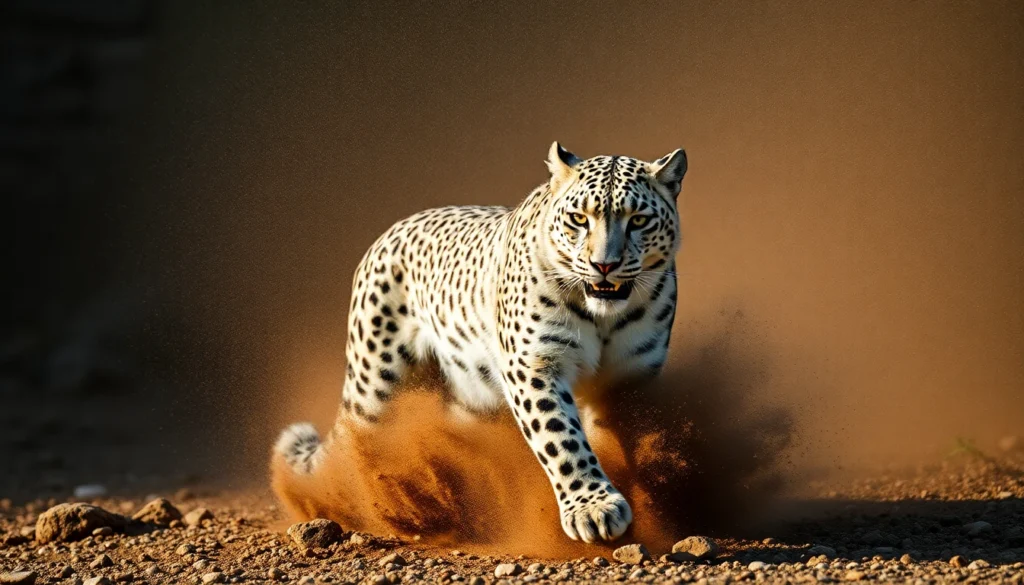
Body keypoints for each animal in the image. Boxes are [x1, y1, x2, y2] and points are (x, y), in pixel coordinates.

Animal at [274, 142, 687, 543]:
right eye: (579, 219)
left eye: (638, 220)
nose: (604, 265)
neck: (604, 318)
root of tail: (392, 230)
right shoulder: (533, 365)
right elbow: (561, 438)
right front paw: (593, 508)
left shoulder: (629, 379)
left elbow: (616, 437)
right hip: (374, 384)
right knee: (355, 448)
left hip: (474, 397)